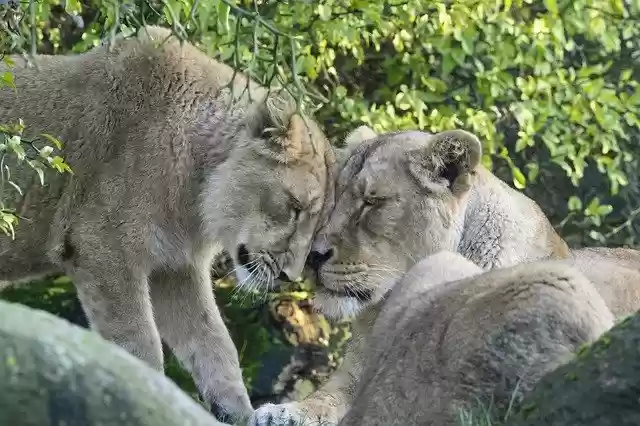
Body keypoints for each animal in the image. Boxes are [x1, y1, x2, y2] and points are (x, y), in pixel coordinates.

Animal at [0, 25, 334, 421]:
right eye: (295, 208)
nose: (288, 277)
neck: (196, 197)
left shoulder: (176, 269)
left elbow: (214, 346)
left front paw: (237, 412)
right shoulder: (102, 249)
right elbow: (139, 347)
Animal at [250, 127, 640, 425]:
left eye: (372, 202)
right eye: (332, 200)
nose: (313, 257)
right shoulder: (355, 373)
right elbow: (325, 398)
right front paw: (283, 412)